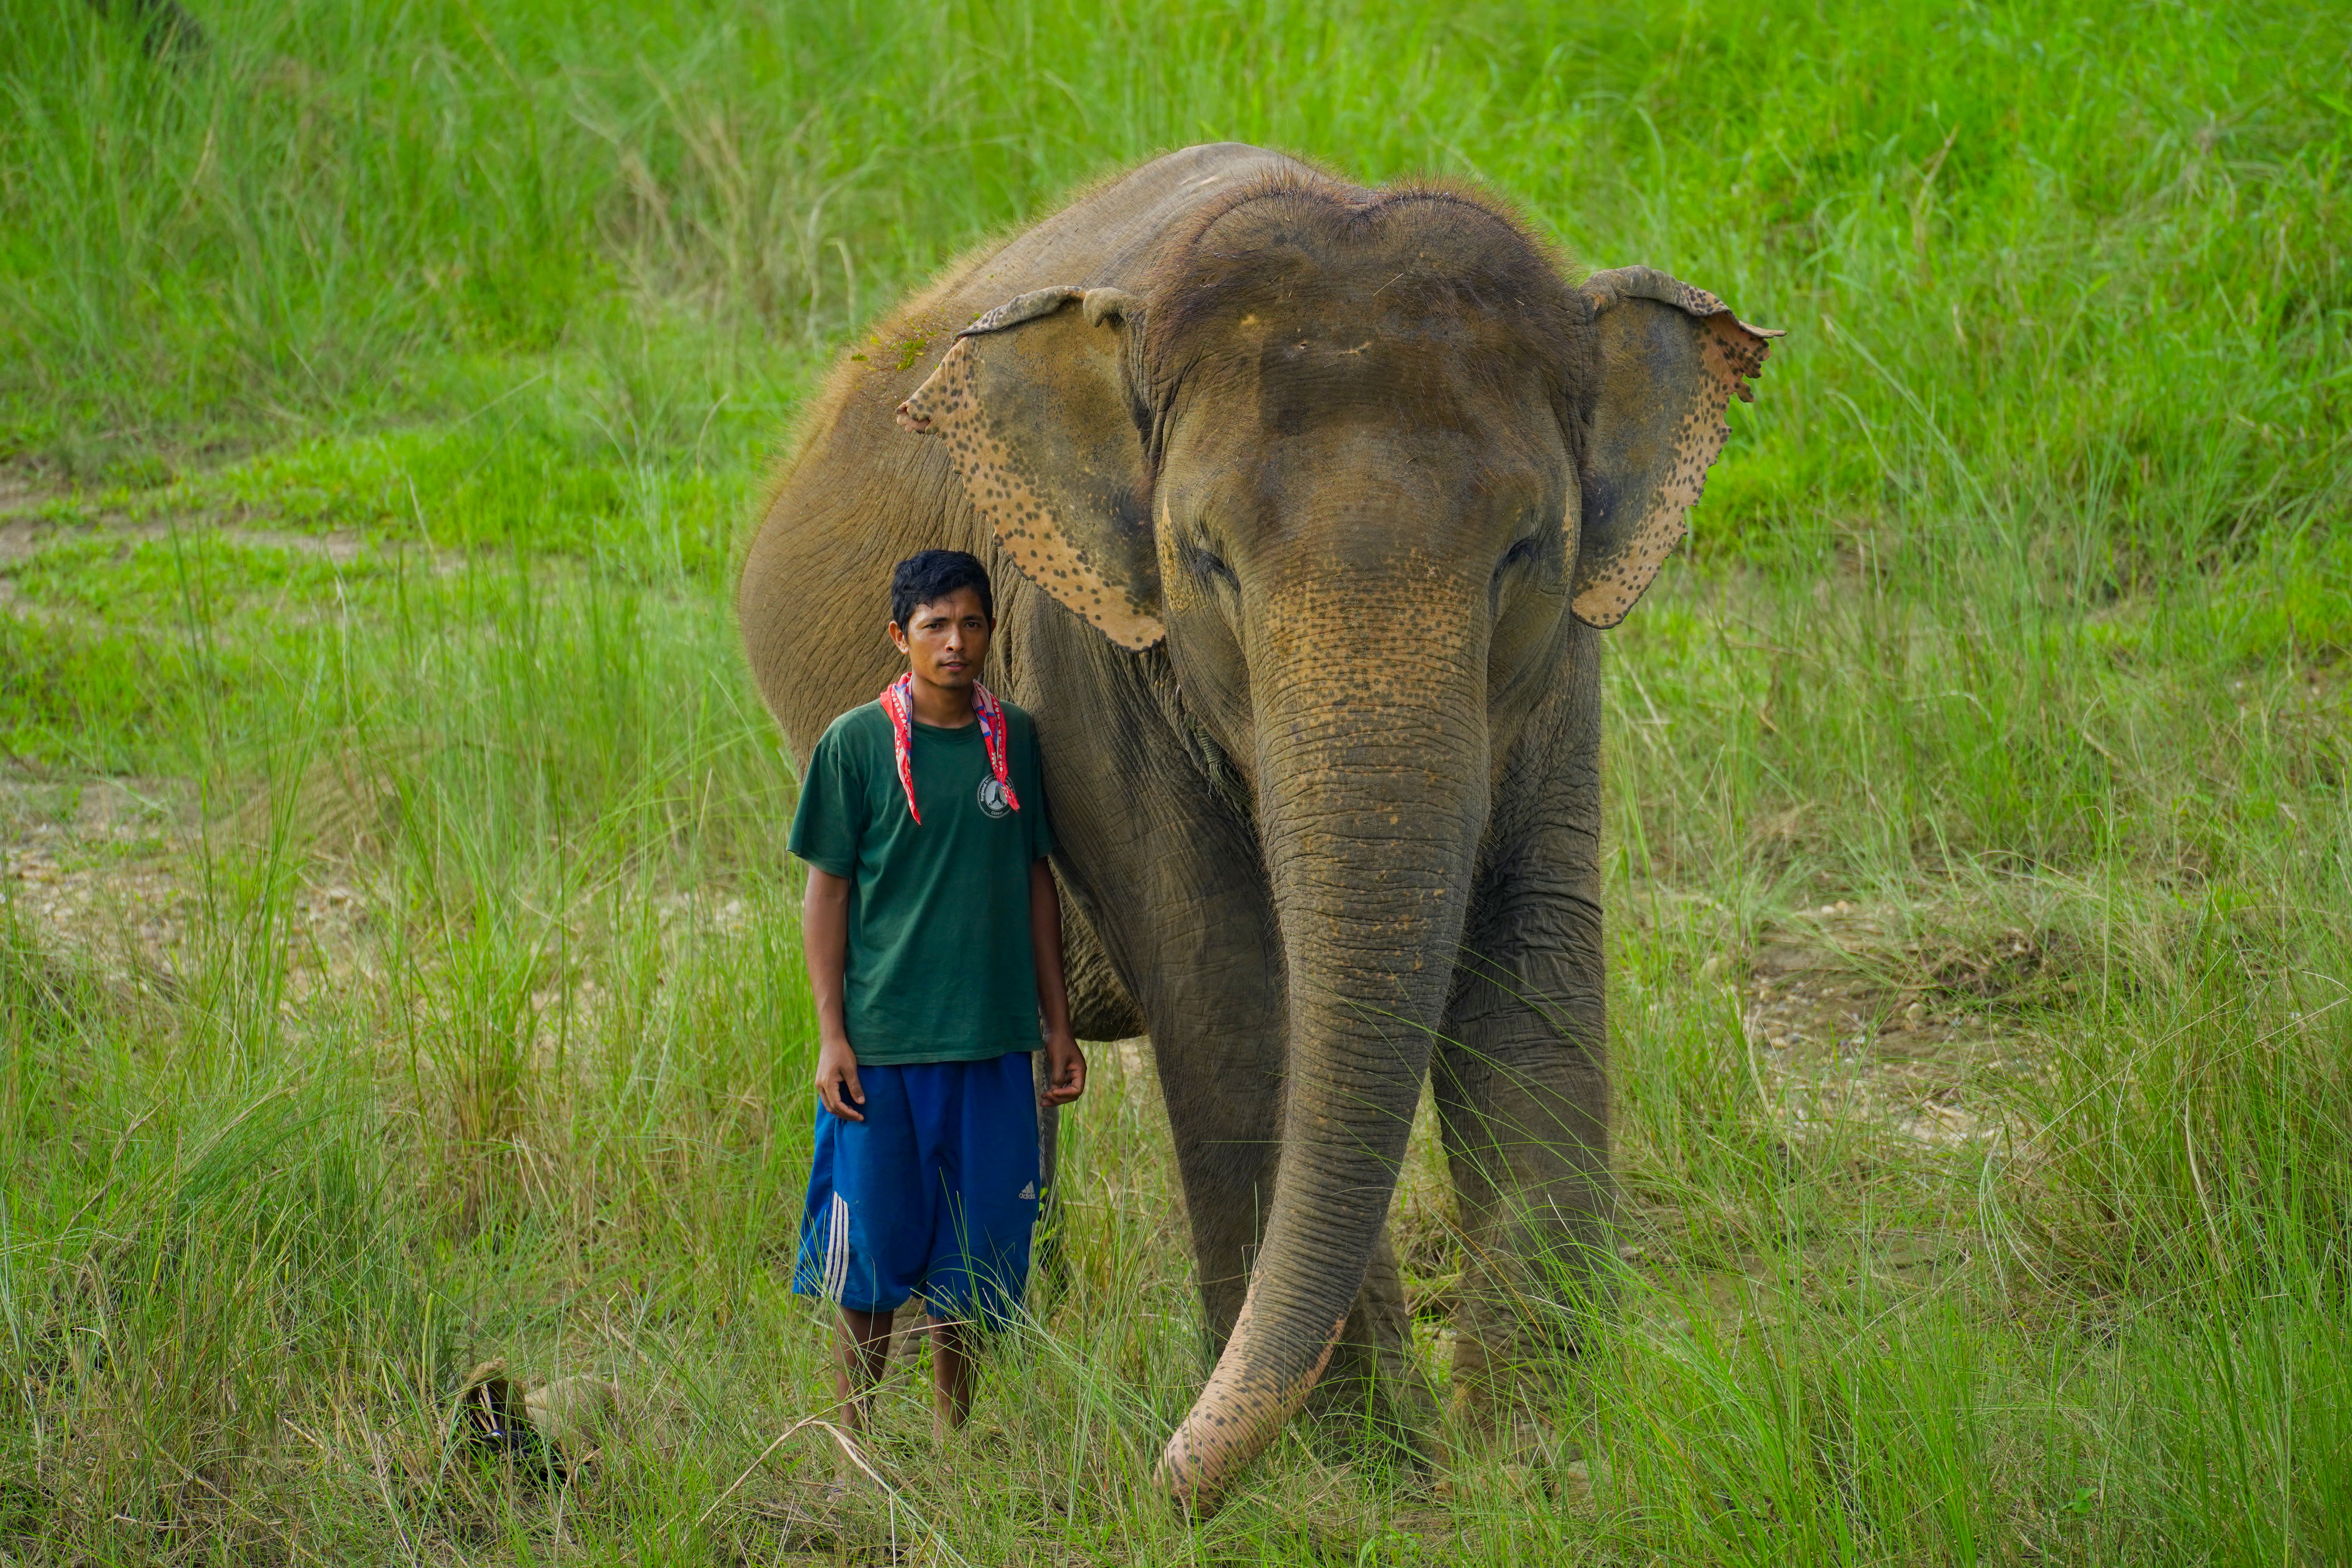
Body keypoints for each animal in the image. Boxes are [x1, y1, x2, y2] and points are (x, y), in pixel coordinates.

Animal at [739, 142, 1776, 1511]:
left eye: (1524, 549)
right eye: (1208, 559)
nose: (1166, 1474)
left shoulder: (1563, 667)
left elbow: (1532, 950)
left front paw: (1539, 1455)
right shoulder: (1088, 654)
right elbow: (1225, 979)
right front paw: (1368, 1466)